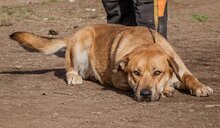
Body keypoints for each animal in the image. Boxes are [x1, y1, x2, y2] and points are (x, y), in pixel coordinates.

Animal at [9, 23, 213, 102]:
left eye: (158, 72)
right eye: (135, 73)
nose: (145, 94)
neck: (145, 43)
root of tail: (73, 34)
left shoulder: (181, 70)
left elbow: (190, 78)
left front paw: (201, 87)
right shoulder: (120, 81)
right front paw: (167, 89)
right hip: (82, 42)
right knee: (69, 68)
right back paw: (75, 77)